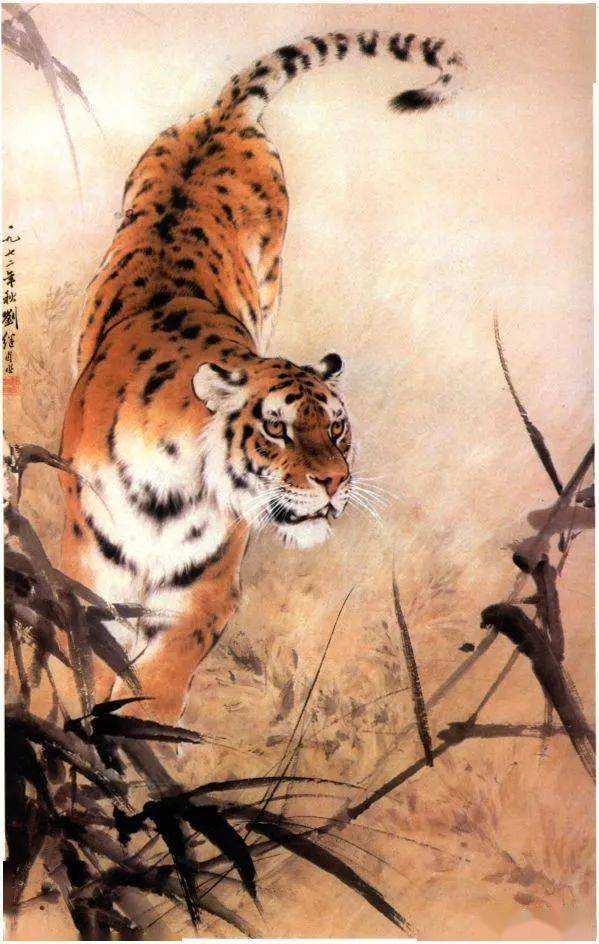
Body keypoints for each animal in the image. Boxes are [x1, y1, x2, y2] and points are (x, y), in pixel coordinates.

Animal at [60, 30, 464, 723]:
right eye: (276, 429)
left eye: (338, 430)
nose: (336, 483)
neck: (170, 493)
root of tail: (223, 115)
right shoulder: (87, 578)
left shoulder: (199, 596)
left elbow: (151, 694)